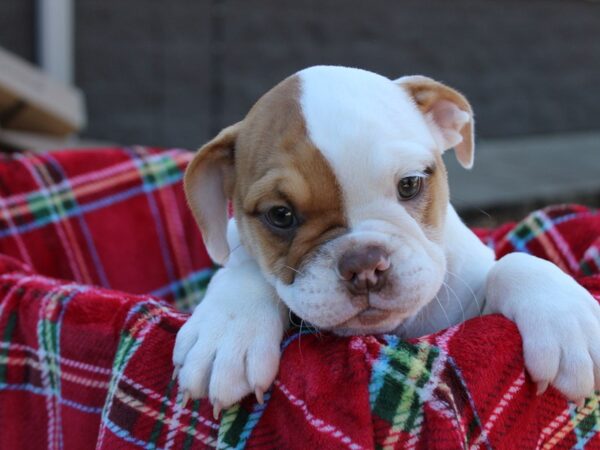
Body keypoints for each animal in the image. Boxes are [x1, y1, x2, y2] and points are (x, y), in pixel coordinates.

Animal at [172, 65, 600, 414]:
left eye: (410, 184)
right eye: (281, 215)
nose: (363, 263)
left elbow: (514, 263)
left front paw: (568, 319)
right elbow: (243, 271)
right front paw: (226, 333)